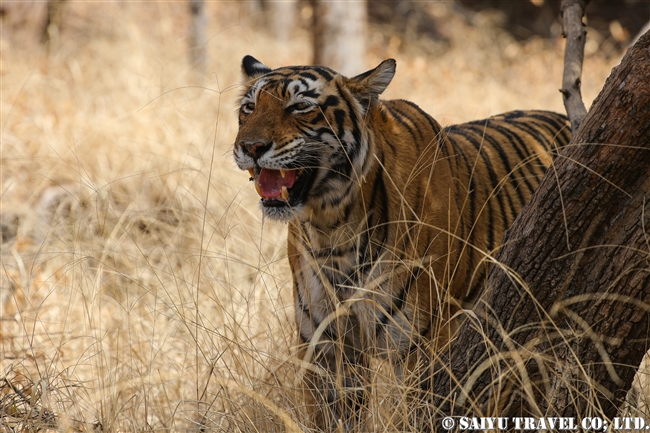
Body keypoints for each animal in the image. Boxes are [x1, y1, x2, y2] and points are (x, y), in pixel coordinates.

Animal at [230, 55, 568, 430]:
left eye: (300, 106)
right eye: (248, 108)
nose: (250, 147)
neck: (332, 227)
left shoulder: (423, 344)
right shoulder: (324, 343)